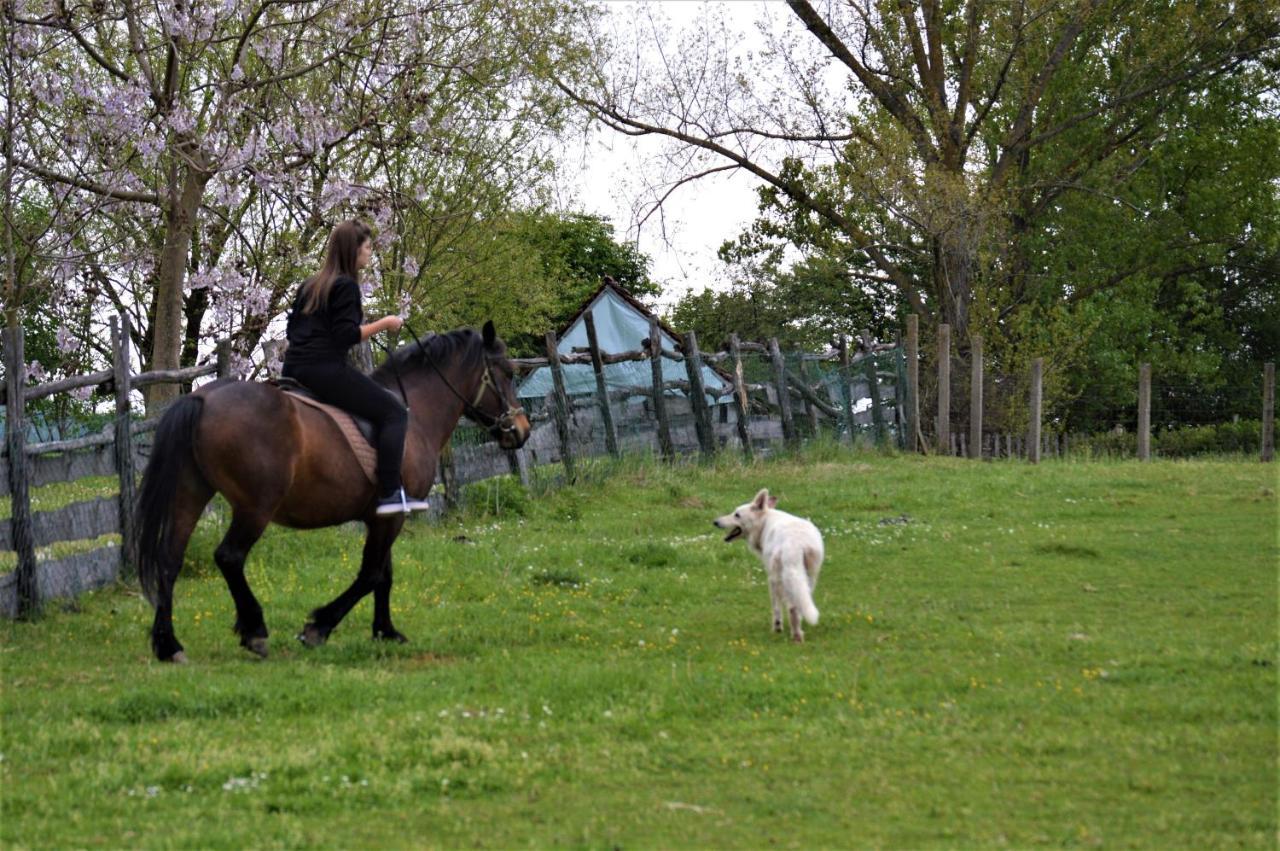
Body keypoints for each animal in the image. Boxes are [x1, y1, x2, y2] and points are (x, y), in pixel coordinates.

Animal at [141, 322, 535, 660]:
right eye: (507, 373)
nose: (522, 429)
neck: (415, 413)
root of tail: (204, 398)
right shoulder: (390, 518)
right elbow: (371, 574)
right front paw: (319, 627)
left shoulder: (384, 515)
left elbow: (383, 574)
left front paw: (385, 630)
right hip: (256, 507)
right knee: (229, 557)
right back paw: (254, 630)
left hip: (191, 492)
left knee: (169, 559)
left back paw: (168, 644)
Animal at [716, 488, 824, 639]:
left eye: (736, 514)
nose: (715, 522)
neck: (764, 522)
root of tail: (796, 543)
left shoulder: (771, 578)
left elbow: (776, 607)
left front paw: (777, 627)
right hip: (809, 576)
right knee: (800, 602)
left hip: (782, 577)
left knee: (792, 607)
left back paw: (796, 636)